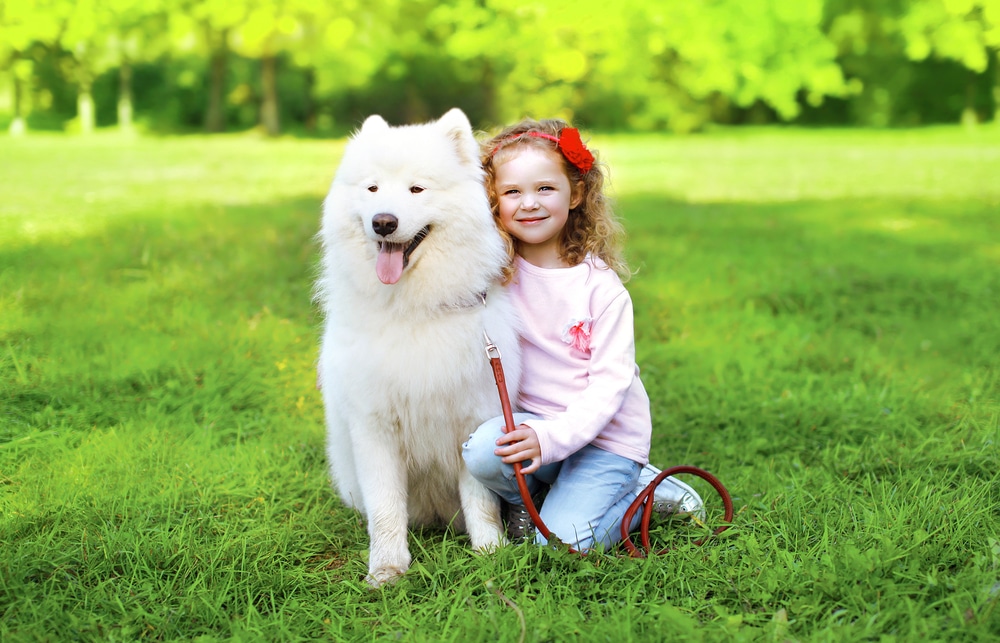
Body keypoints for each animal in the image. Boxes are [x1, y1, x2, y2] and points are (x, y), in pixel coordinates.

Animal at [314, 108, 520, 588]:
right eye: (372, 189)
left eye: (417, 189)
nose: (383, 222)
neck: (414, 309)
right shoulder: (374, 427)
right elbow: (386, 508)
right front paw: (387, 568)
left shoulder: (473, 421)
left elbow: (481, 503)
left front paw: (491, 554)